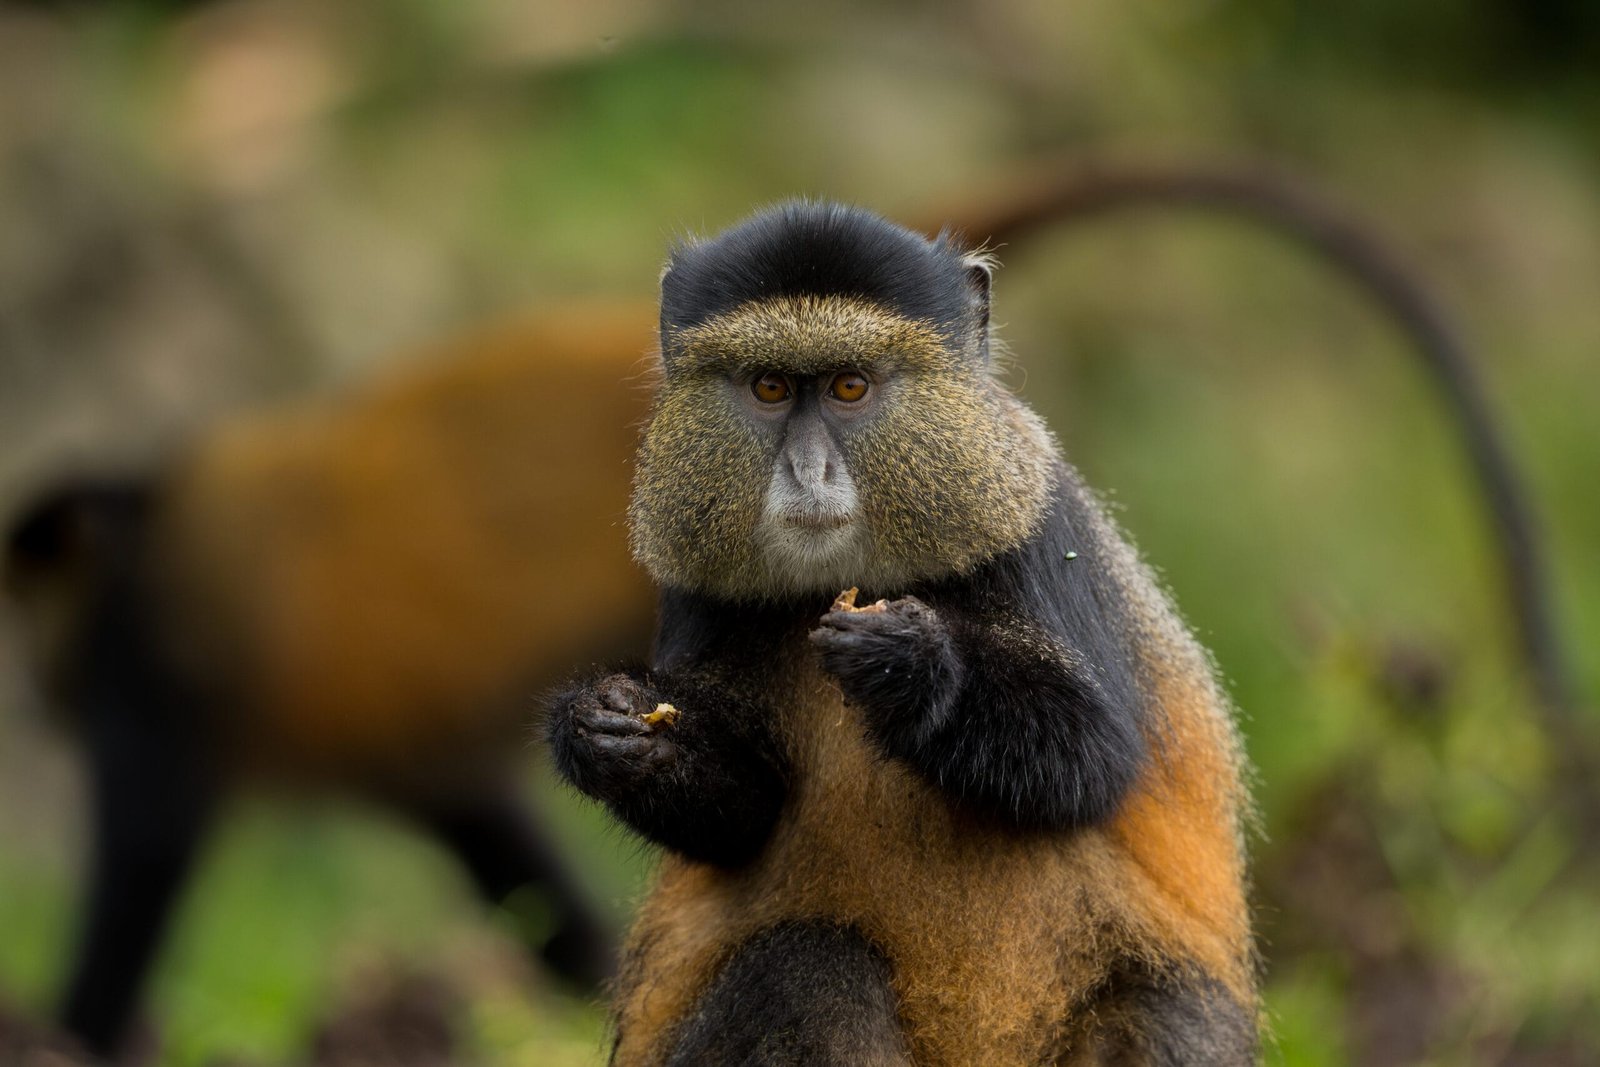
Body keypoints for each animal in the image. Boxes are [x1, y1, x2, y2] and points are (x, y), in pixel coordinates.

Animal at [1, 302, 660, 1060]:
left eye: (26, 614)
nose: (28, 686)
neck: (138, 533)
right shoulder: (421, 764)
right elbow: (492, 828)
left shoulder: (141, 662)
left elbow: (145, 853)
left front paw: (70, 1038)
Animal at [545, 202, 1259, 1065]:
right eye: (769, 386)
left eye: (851, 386)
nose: (808, 472)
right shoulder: (694, 587)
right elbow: (741, 813)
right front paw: (610, 730)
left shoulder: (1037, 529)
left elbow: (1095, 756)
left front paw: (913, 665)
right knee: (807, 966)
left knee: (1164, 1010)